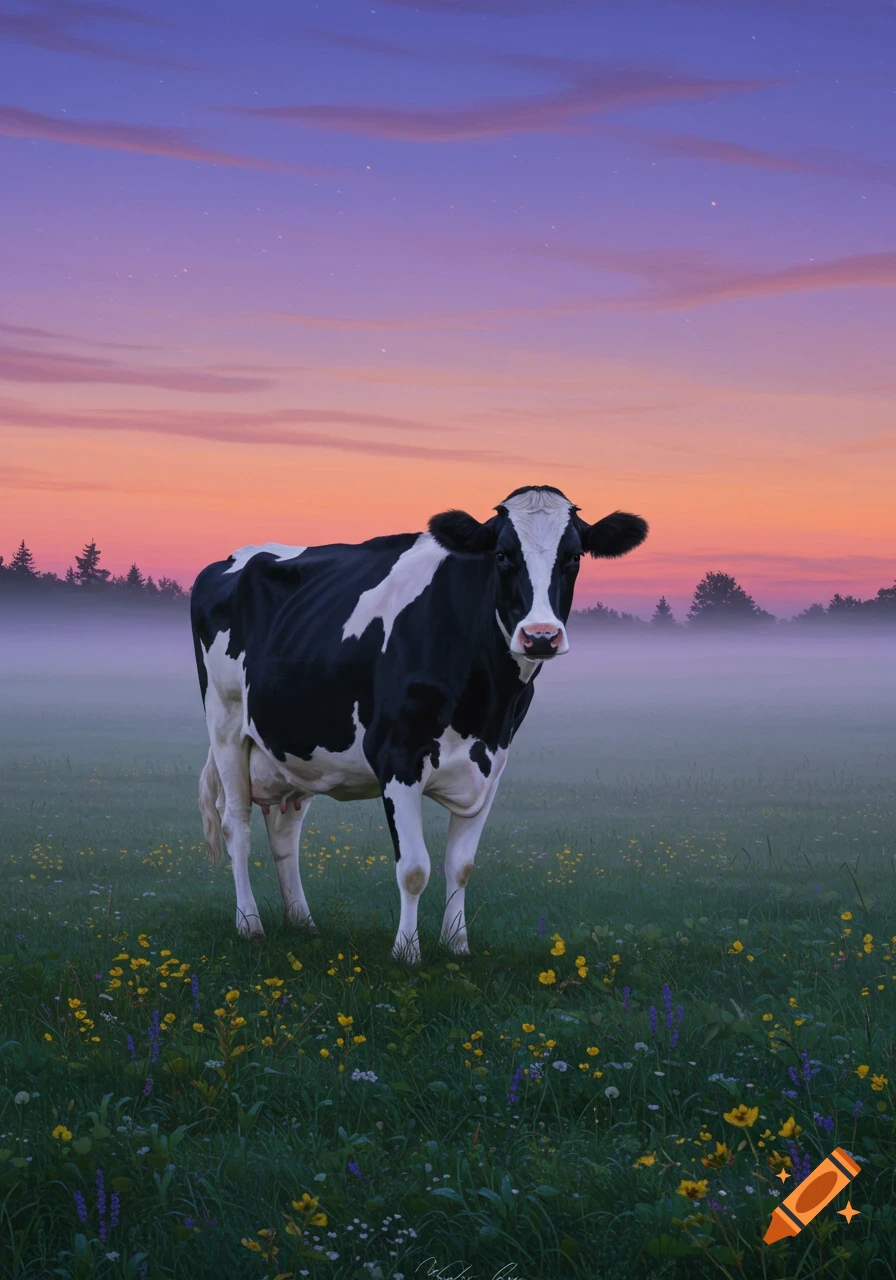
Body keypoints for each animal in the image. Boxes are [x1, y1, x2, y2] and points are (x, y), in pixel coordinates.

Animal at [190, 484, 647, 962]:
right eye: (502, 554)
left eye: (574, 556)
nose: (541, 636)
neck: (482, 705)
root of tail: (235, 556)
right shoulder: (397, 755)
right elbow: (413, 868)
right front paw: (407, 953)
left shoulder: (491, 763)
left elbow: (461, 866)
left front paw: (457, 945)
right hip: (226, 727)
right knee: (236, 824)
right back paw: (250, 924)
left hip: (295, 748)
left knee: (285, 832)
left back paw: (302, 922)